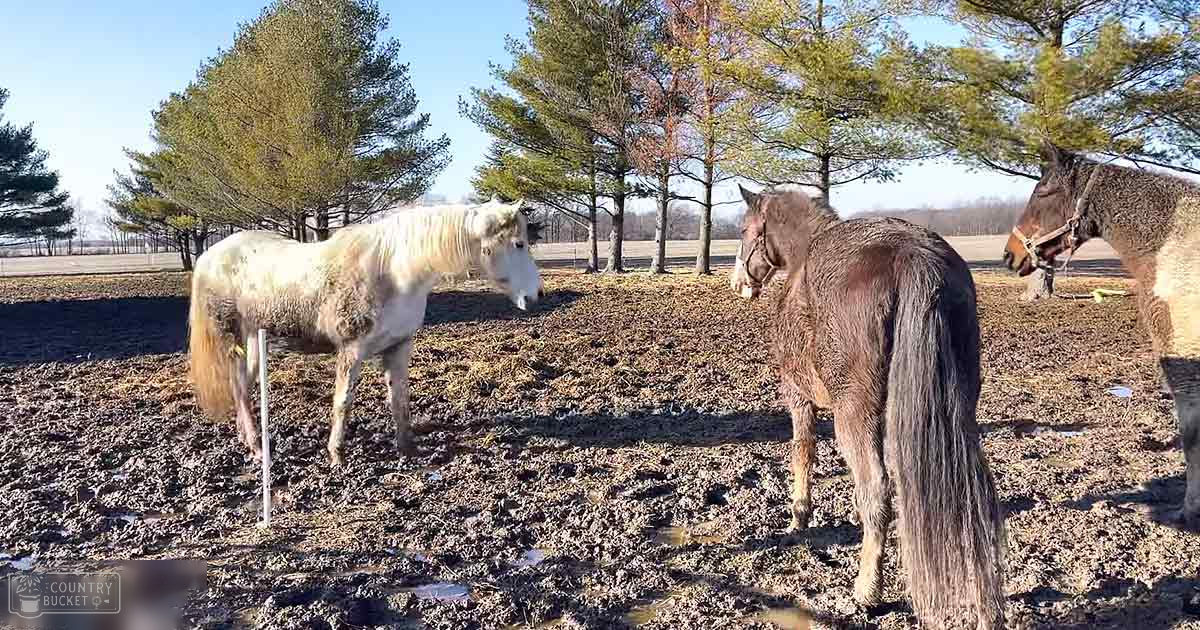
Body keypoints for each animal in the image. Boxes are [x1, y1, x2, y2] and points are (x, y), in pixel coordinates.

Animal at [187, 199, 543, 466]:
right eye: (518, 243)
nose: (535, 296)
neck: (395, 273)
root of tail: (209, 256)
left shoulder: (399, 346)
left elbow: (399, 398)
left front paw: (407, 448)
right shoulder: (352, 350)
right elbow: (343, 401)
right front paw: (336, 455)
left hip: (253, 338)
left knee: (244, 386)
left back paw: (249, 440)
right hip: (231, 336)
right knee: (238, 386)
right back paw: (258, 448)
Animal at [731, 186, 1005, 629]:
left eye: (744, 229)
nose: (739, 281)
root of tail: (914, 256)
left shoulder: (798, 395)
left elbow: (802, 451)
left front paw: (798, 517)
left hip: (853, 416)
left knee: (876, 489)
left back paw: (866, 591)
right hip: (955, 414)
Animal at [1005, 142, 1200, 527]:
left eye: (1042, 192)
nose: (1010, 254)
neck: (1172, 246)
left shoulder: (1184, 362)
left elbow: (1191, 436)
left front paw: (1189, 510)